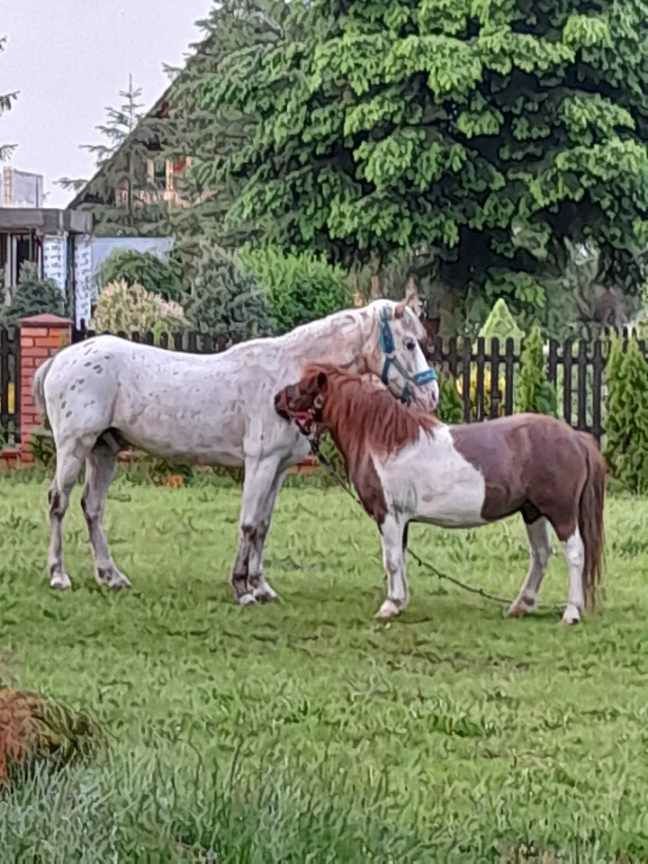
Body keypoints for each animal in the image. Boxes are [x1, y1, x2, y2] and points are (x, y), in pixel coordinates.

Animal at [35, 288, 440, 600]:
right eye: (408, 343)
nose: (432, 395)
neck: (287, 378)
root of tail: (60, 360)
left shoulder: (278, 468)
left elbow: (263, 524)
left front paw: (261, 587)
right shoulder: (260, 462)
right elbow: (248, 523)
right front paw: (242, 588)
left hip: (103, 451)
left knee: (92, 507)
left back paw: (111, 576)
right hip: (75, 447)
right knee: (59, 502)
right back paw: (58, 575)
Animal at [274, 368, 608, 624]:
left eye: (303, 387)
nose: (277, 399)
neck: (384, 441)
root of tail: (575, 437)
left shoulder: (388, 514)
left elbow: (391, 560)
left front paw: (389, 606)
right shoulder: (401, 519)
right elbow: (400, 558)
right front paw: (400, 601)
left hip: (561, 512)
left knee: (574, 553)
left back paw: (571, 613)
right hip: (532, 511)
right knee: (540, 554)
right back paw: (520, 606)